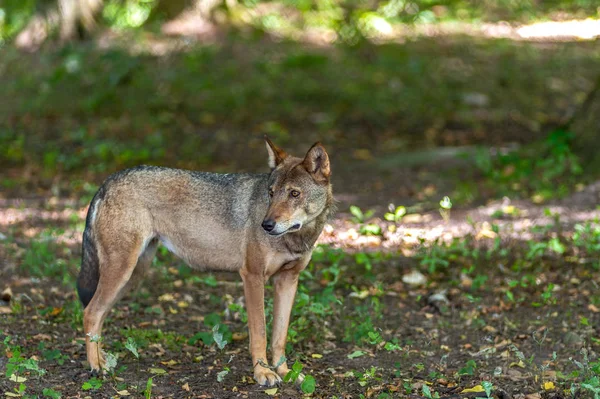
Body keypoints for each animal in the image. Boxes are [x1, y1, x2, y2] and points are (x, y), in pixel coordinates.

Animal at [76, 136, 332, 386]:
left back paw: (103, 361)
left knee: (99, 315)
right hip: (122, 272)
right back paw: (96, 367)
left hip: (132, 275)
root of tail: (108, 181)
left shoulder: (288, 281)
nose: (266, 225)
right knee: (90, 313)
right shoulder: (252, 277)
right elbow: (260, 333)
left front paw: (286, 373)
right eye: (271, 193)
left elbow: (279, 337)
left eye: (294, 194)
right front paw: (264, 374)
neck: (297, 238)